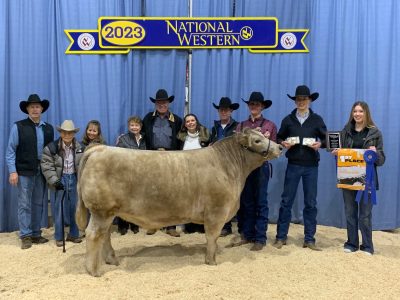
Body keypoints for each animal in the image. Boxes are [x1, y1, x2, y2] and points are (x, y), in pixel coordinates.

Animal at [76, 127, 282, 276]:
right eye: (257, 140)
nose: (280, 147)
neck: (229, 167)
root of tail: (99, 148)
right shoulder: (216, 211)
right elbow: (212, 237)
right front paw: (211, 261)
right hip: (102, 211)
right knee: (94, 234)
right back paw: (94, 270)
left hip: (108, 212)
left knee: (104, 235)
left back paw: (111, 260)